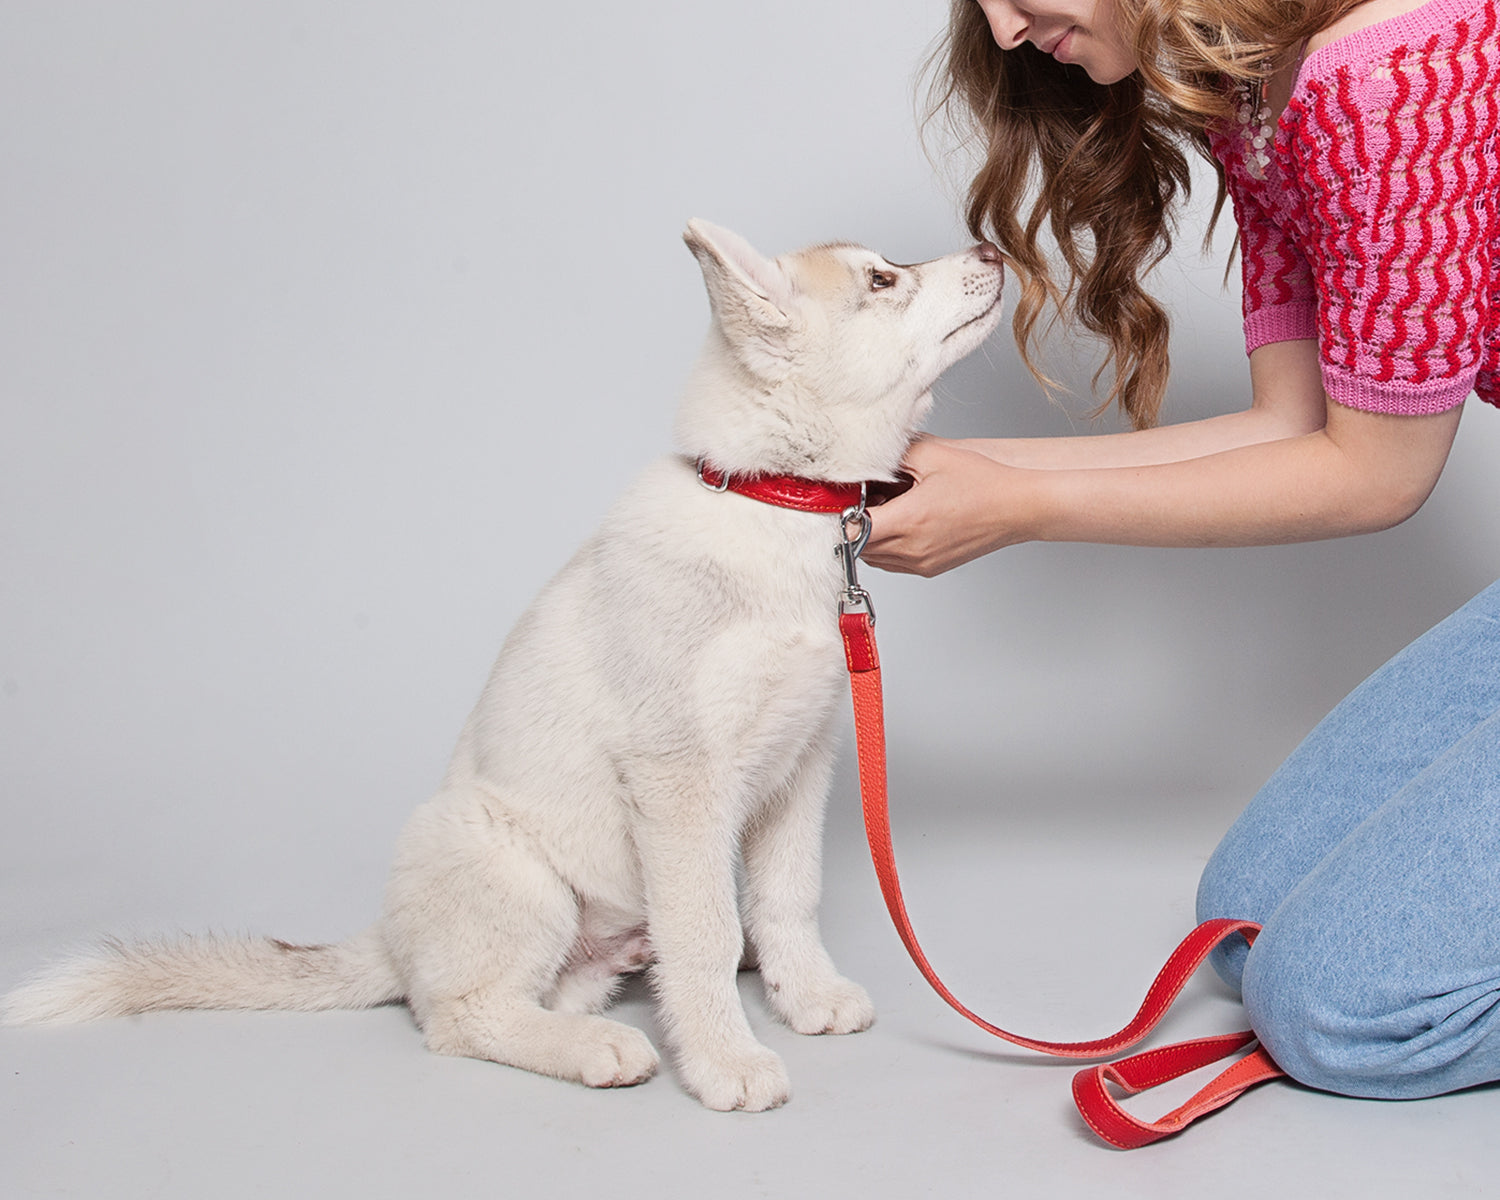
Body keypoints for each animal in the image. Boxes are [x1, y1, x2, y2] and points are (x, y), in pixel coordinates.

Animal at [5, 220, 1008, 1110]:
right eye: (882, 281)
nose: (994, 250)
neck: (772, 503)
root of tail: (390, 940)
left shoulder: (801, 763)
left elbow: (785, 899)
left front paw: (804, 996)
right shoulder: (678, 778)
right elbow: (708, 933)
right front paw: (727, 1060)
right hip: (512, 873)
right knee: (457, 1016)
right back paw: (600, 1048)